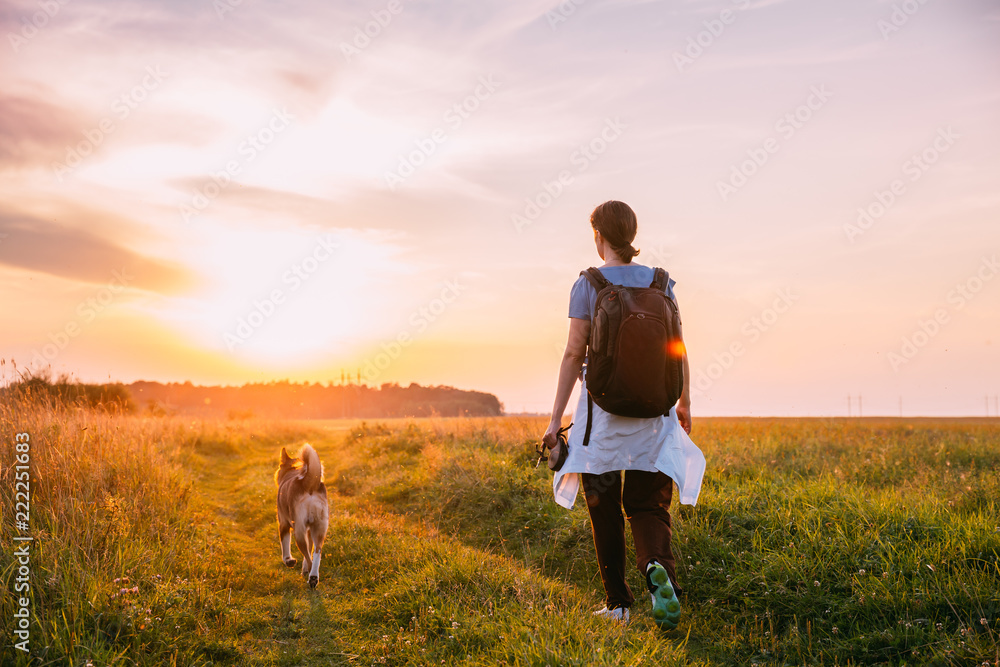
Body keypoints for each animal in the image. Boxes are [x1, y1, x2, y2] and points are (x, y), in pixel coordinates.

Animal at [274, 446, 328, 588]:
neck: (292, 470)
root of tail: (309, 484)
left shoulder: (283, 524)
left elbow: (285, 545)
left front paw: (288, 560)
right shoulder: (309, 531)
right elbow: (309, 550)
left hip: (299, 531)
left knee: (309, 559)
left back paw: (312, 578)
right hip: (318, 528)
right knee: (316, 552)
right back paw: (313, 575)